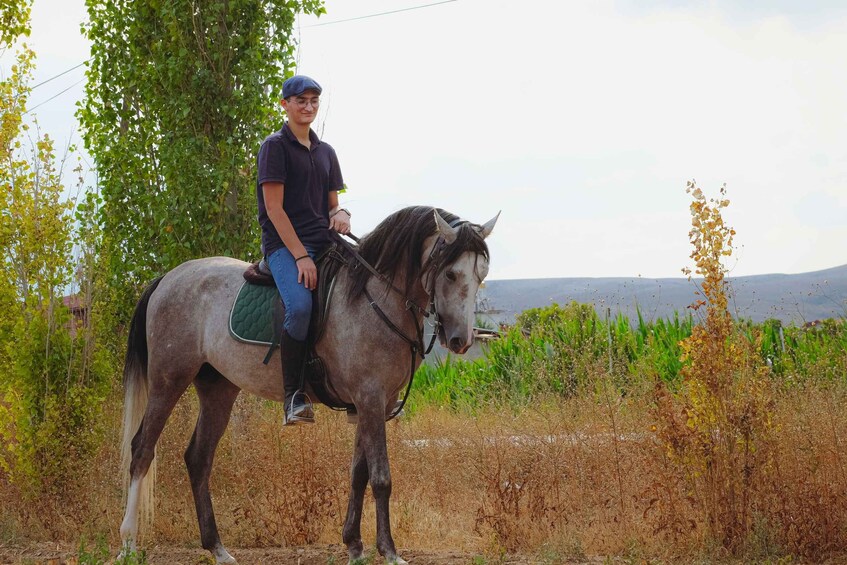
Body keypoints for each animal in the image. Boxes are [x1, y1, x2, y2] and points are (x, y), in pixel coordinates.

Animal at [117, 206, 498, 564]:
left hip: (218, 390)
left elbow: (358, 473)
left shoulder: (371, 404)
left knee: (198, 458)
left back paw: (217, 549)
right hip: (168, 380)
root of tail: (169, 277)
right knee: (142, 450)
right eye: (450, 273)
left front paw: (354, 545)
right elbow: (380, 478)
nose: (460, 340)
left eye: (482, 275)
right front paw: (389, 551)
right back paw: (128, 543)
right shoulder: (371, 399)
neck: (376, 297)